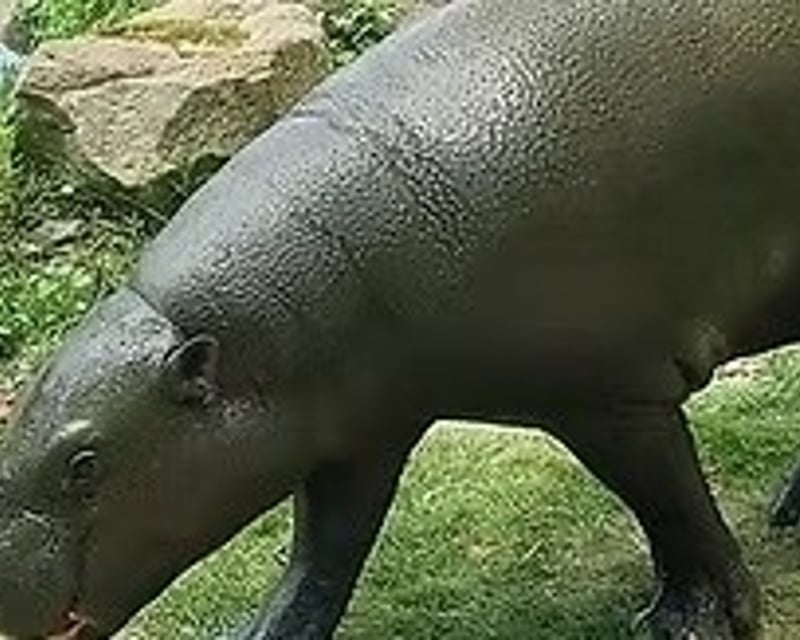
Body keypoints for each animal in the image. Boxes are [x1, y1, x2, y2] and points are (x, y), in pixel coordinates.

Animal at [3, 0, 800, 638]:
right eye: (12, 425)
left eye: (84, 464)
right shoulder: (354, 432)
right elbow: (323, 556)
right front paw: (259, 632)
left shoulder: (610, 391)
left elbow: (670, 506)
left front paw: (688, 622)